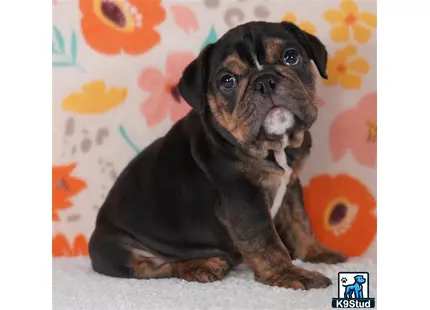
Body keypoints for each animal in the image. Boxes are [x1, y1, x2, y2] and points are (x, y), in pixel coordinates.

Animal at [89, 21, 348, 290]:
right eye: (227, 81)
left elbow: (300, 222)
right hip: (117, 250)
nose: (265, 81)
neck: (275, 147)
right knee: (157, 266)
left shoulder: (291, 185)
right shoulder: (243, 199)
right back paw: (200, 265)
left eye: (290, 57)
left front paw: (316, 252)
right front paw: (289, 274)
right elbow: (267, 242)